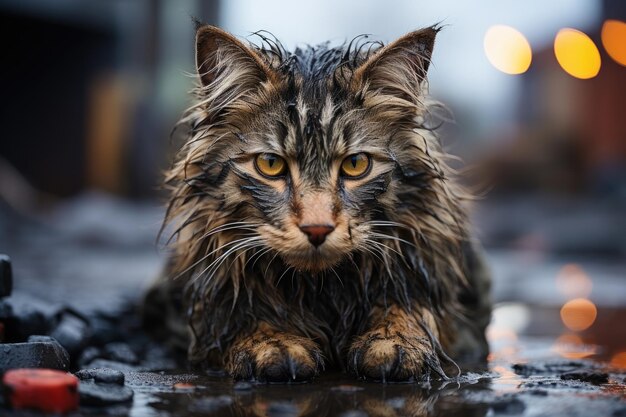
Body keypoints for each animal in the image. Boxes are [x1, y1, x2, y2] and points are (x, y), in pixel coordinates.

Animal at [144, 22, 490, 380]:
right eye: (271, 164)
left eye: (356, 165)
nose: (317, 229)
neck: (320, 291)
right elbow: (236, 314)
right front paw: (273, 342)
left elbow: (412, 306)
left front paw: (394, 340)